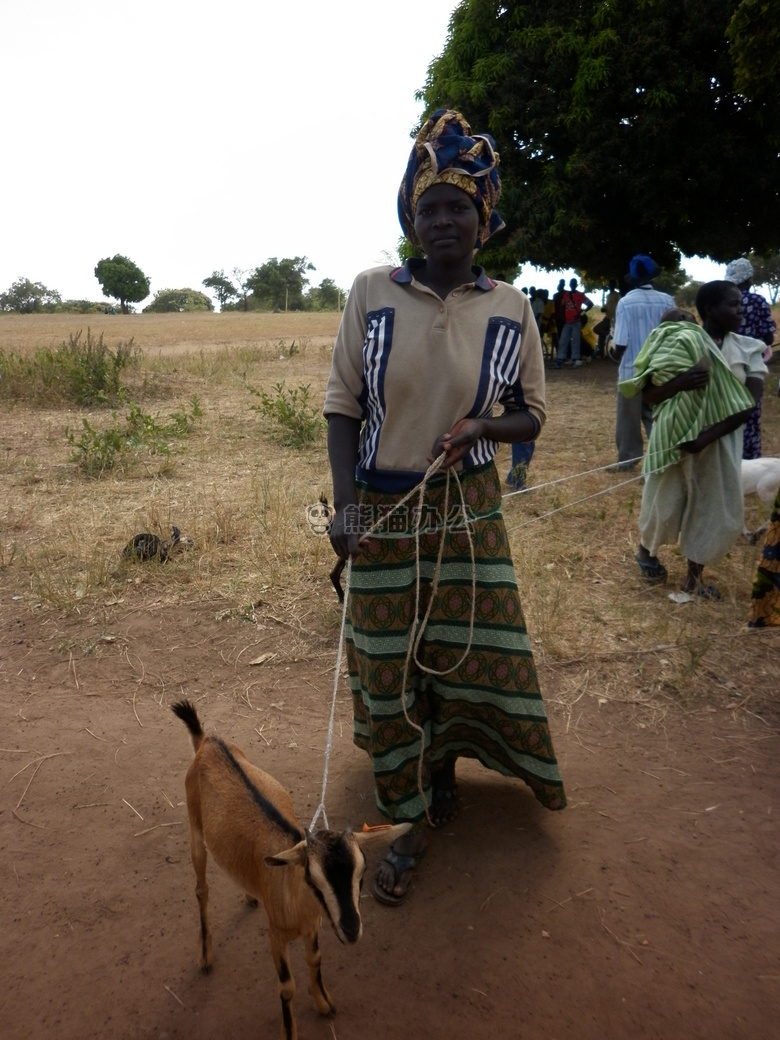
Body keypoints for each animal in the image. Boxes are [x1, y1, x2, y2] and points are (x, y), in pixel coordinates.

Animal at [170, 698, 409, 1040]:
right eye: (313, 878)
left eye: (361, 874)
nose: (351, 929)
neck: (298, 901)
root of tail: (206, 741)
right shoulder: (276, 935)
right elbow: (286, 987)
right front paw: (291, 1029)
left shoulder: (313, 928)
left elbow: (315, 959)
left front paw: (323, 1002)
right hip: (195, 832)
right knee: (201, 889)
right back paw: (205, 955)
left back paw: (250, 896)